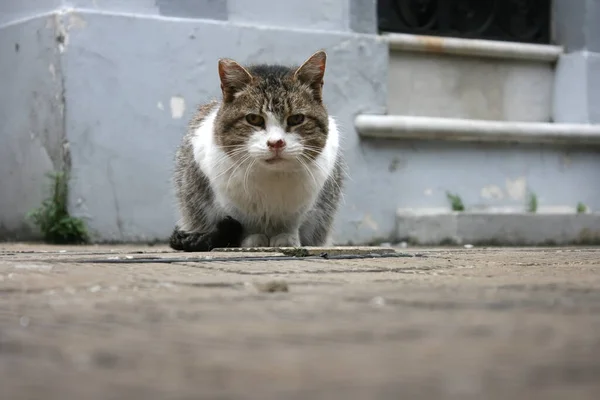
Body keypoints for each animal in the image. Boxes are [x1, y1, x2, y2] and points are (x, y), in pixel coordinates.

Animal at [171, 50, 344, 250]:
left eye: (296, 119)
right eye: (253, 119)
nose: (276, 143)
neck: (271, 177)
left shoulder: (304, 203)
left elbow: (291, 224)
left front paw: (287, 238)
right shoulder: (229, 202)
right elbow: (246, 224)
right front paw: (252, 239)